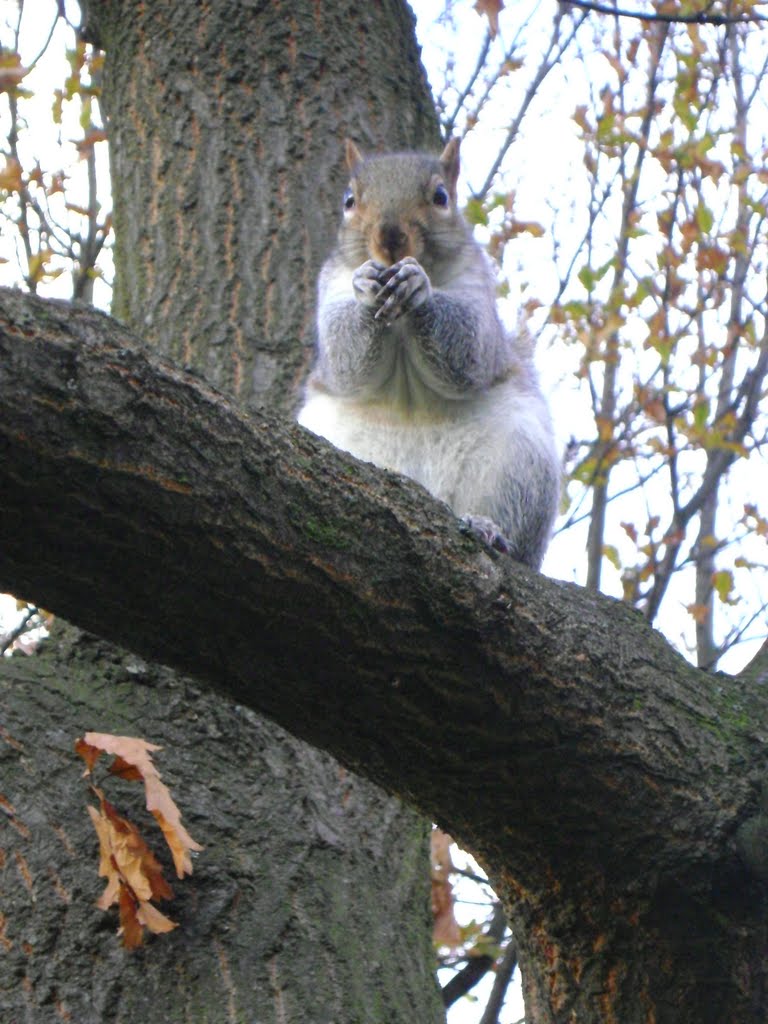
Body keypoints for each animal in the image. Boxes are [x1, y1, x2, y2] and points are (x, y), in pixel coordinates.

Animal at [296, 137, 561, 569]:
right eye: (349, 200)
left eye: (440, 197)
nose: (390, 237)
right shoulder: (330, 286)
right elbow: (343, 358)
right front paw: (365, 285)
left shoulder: (477, 290)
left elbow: (468, 349)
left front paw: (419, 286)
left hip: (520, 466)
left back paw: (490, 530)